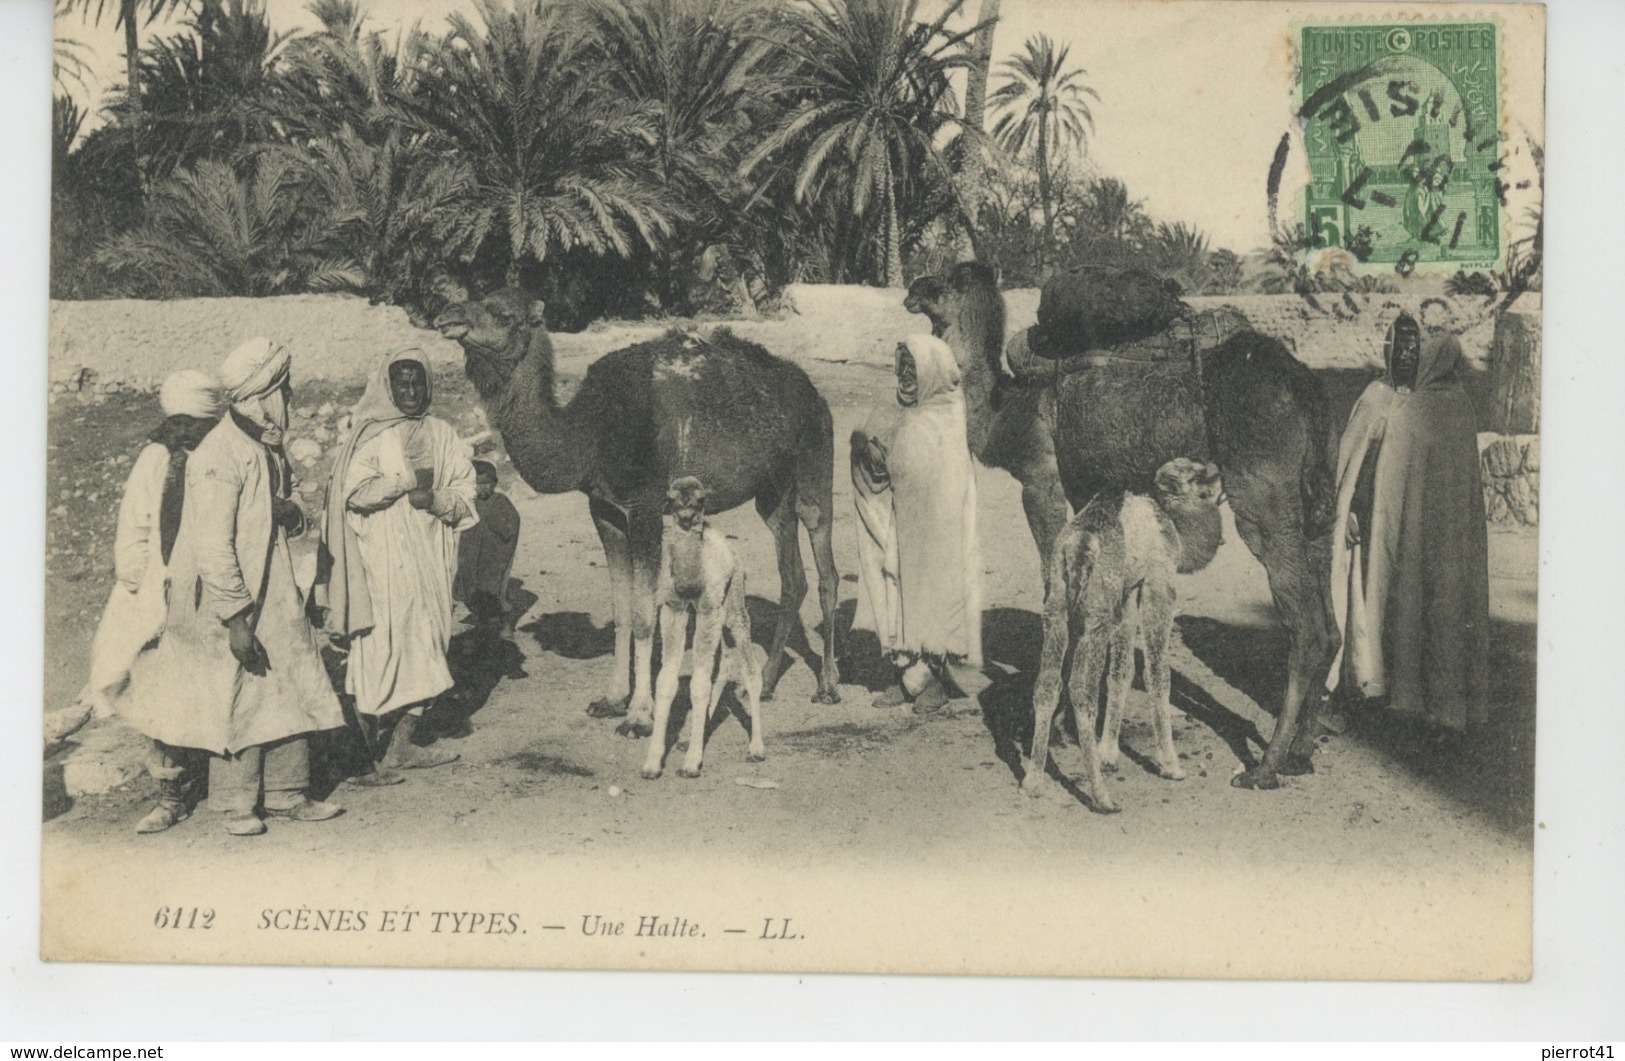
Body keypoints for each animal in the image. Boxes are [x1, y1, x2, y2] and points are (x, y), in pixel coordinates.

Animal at [432, 292, 838, 737]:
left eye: (502, 313)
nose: (448, 316)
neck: (588, 433)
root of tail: (814, 393)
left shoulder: (645, 507)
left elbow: (645, 614)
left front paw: (640, 717)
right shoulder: (606, 510)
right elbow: (622, 611)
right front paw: (610, 700)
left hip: (814, 464)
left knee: (824, 562)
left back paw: (827, 687)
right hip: (772, 493)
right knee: (793, 577)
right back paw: (764, 683)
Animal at [640, 474, 767, 776]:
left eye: (701, 500)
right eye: (671, 499)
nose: (686, 516)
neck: (690, 581)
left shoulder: (709, 607)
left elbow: (698, 683)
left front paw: (691, 764)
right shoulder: (674, 608)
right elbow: (666, 680)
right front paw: (652, 763)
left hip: (733, 602)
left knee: (749, 668)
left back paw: (757, 748)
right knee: (723, 665)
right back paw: (691, 737)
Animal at [1020, 454, 1222, 812]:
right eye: (1198, 476)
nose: (1216, 472)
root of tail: (1079, 546)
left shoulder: (1127, 591)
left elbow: (1121, 671)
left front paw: (1109, 752)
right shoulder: (1158, 578)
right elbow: (1157, 673)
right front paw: (1170, 765)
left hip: (1057, 607)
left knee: (1047, 684)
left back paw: (1032, 783)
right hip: (1095, 616)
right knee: (1081, 689)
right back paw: (1101, 795)